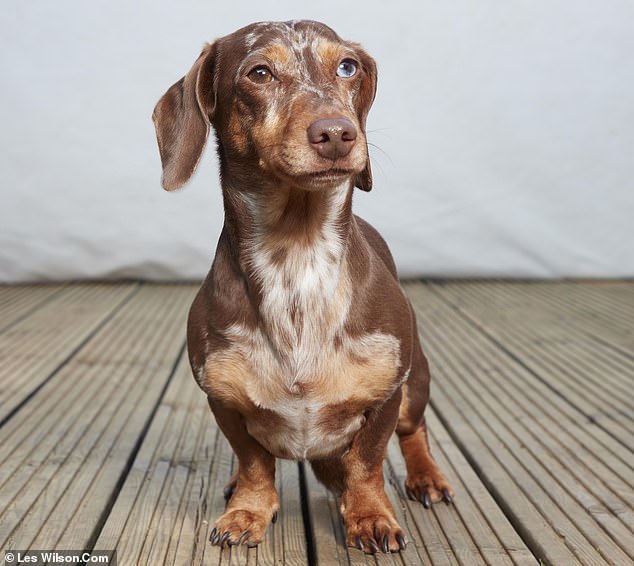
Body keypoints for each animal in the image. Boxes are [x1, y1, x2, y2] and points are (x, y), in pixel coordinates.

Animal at [151, 21, 452, 556]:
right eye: (259, 72)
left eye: (347, 67)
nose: (336, 133)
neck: (298, 260)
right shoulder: (222, 399)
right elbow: (254, 461)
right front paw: (247, 510)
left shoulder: (386, 394)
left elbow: (367, 461)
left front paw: (369, 515)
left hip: (415, 382)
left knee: (414, 431)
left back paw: (426, 477)